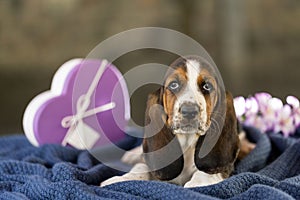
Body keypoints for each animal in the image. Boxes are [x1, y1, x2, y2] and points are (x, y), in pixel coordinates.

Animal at [102, 55, 243, 188]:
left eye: (207, 86)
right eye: (174, 85)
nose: (189, 111)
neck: (186, 141)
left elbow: (208, 171)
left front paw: (199, 182)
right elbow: (141, 166)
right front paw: (122, 179)